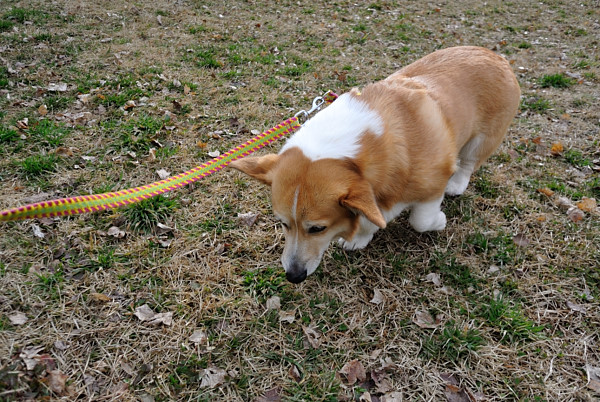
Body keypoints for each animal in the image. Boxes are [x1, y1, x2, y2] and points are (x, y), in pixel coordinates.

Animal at [230, 46, 520, 282]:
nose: (293, 276)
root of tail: (496, 56)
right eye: (282, 223)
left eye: (318, 228)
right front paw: (359, 239)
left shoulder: (431, 185)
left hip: (482, 139)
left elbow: (421, 220)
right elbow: (371, 218)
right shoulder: (370, 197)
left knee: (469, 162)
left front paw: (439, 221)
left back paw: (457, 185)